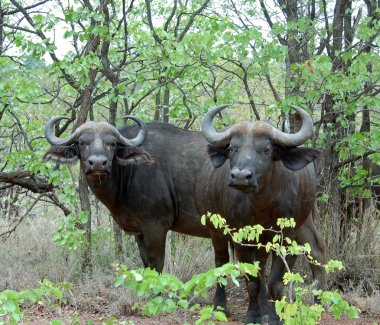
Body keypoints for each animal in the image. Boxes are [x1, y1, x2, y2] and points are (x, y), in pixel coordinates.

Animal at [194, 105, 322, 322]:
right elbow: (252, 282)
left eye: (266, 149)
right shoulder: (240, 240)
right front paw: (253, 316)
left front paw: (275, 317)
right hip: (216, 230)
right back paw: (220, 306)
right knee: (221, 263)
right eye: (232, 148)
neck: (262, 205)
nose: (240, 177)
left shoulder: (285, 238)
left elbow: (274, 283)